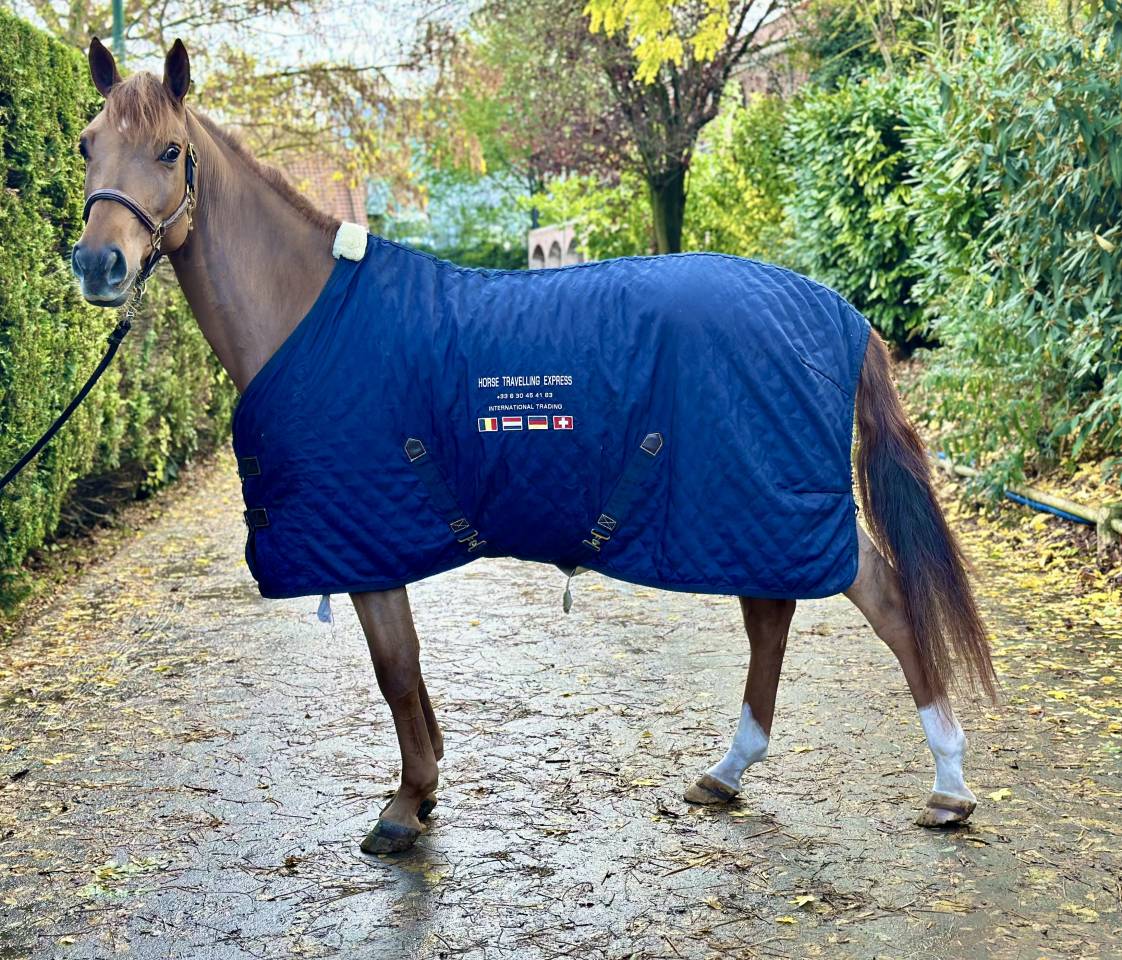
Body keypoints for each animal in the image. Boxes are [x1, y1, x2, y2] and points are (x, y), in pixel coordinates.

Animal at [70, 38, 997, 854]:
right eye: (87, 145)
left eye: (169, 149)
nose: (97, 264)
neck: (309, 315)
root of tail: (836, 310)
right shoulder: (381, 539)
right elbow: (411, 671)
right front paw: (426, 788)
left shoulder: (369, 543)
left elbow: (394, 668)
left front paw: (404, 807)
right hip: (744, 513)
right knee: (771, 620)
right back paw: (729, 771)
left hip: (773, 507)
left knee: (888, 603)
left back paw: (949, 785)